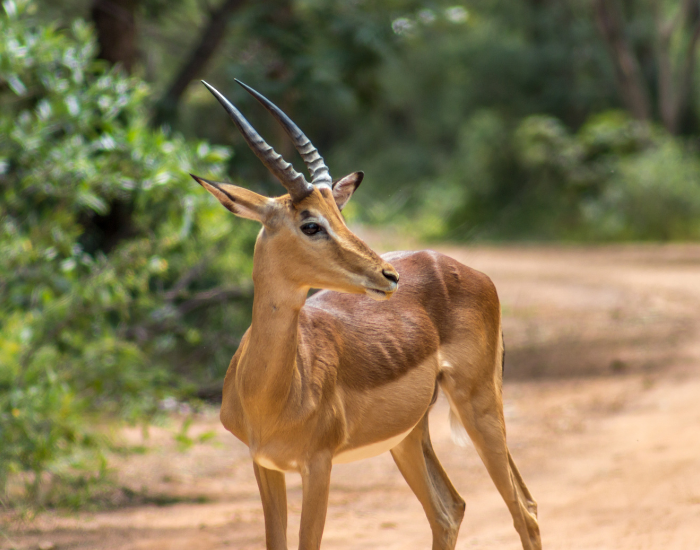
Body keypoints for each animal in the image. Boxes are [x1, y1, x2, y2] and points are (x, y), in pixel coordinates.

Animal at [190, 80, 541, 550]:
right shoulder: (264, 464)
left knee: (524, 508)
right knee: (449, 509)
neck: (270, 392)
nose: (388, 275)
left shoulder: (318, 465)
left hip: (480, 402)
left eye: (339, 215)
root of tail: (464, 268)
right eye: (311, 224)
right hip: (409, 435)